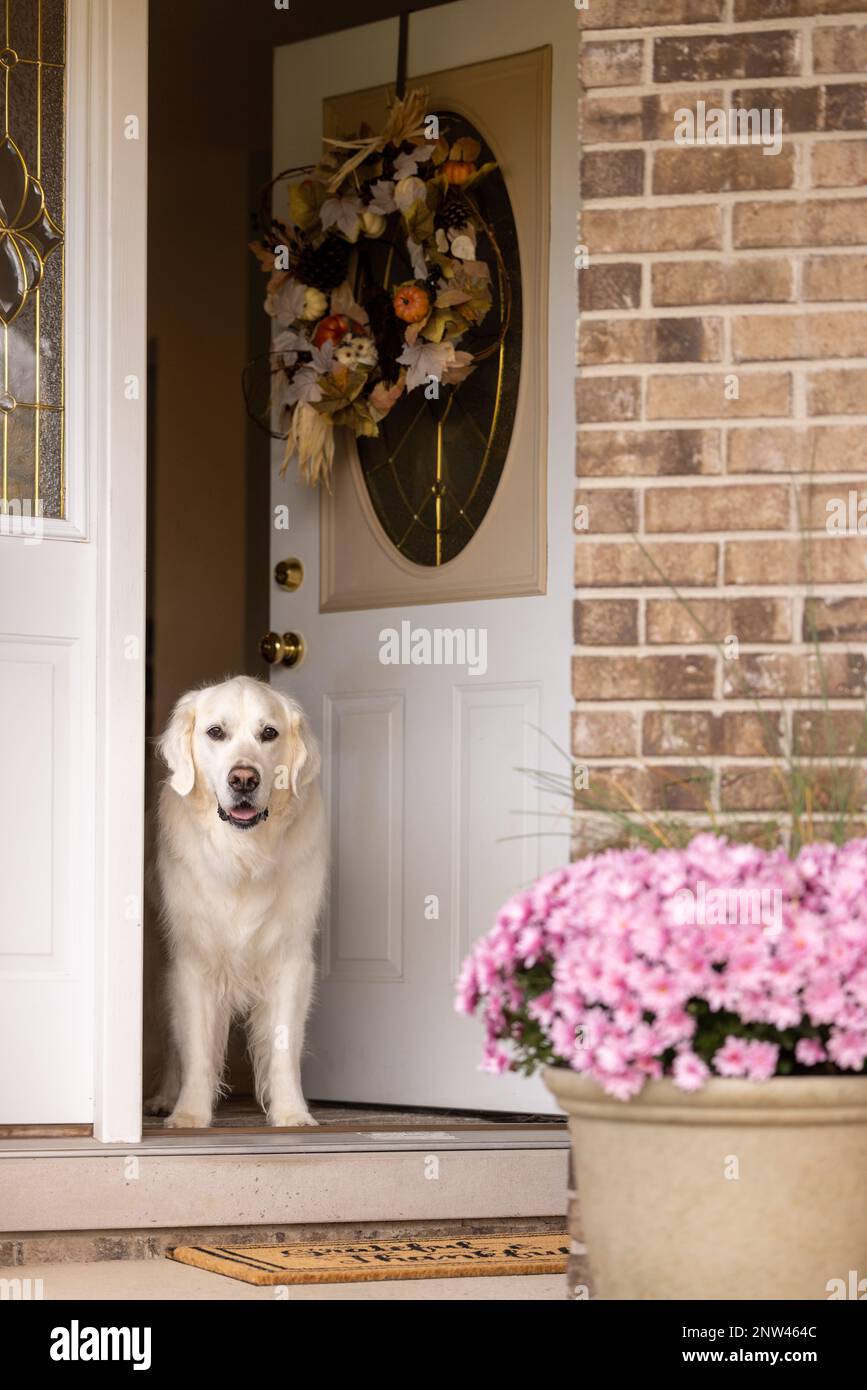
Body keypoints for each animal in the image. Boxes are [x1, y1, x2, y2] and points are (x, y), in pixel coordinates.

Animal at [147, 675, 326, 1128]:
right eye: (216, 732)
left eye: (269, 733)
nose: (243, 779)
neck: (244, 855)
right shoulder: (193, 959)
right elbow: (195, 1048)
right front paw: (190, 1114)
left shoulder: (291, 958)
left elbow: (283, 1046)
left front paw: (292, 1112)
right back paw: (165, 1097)